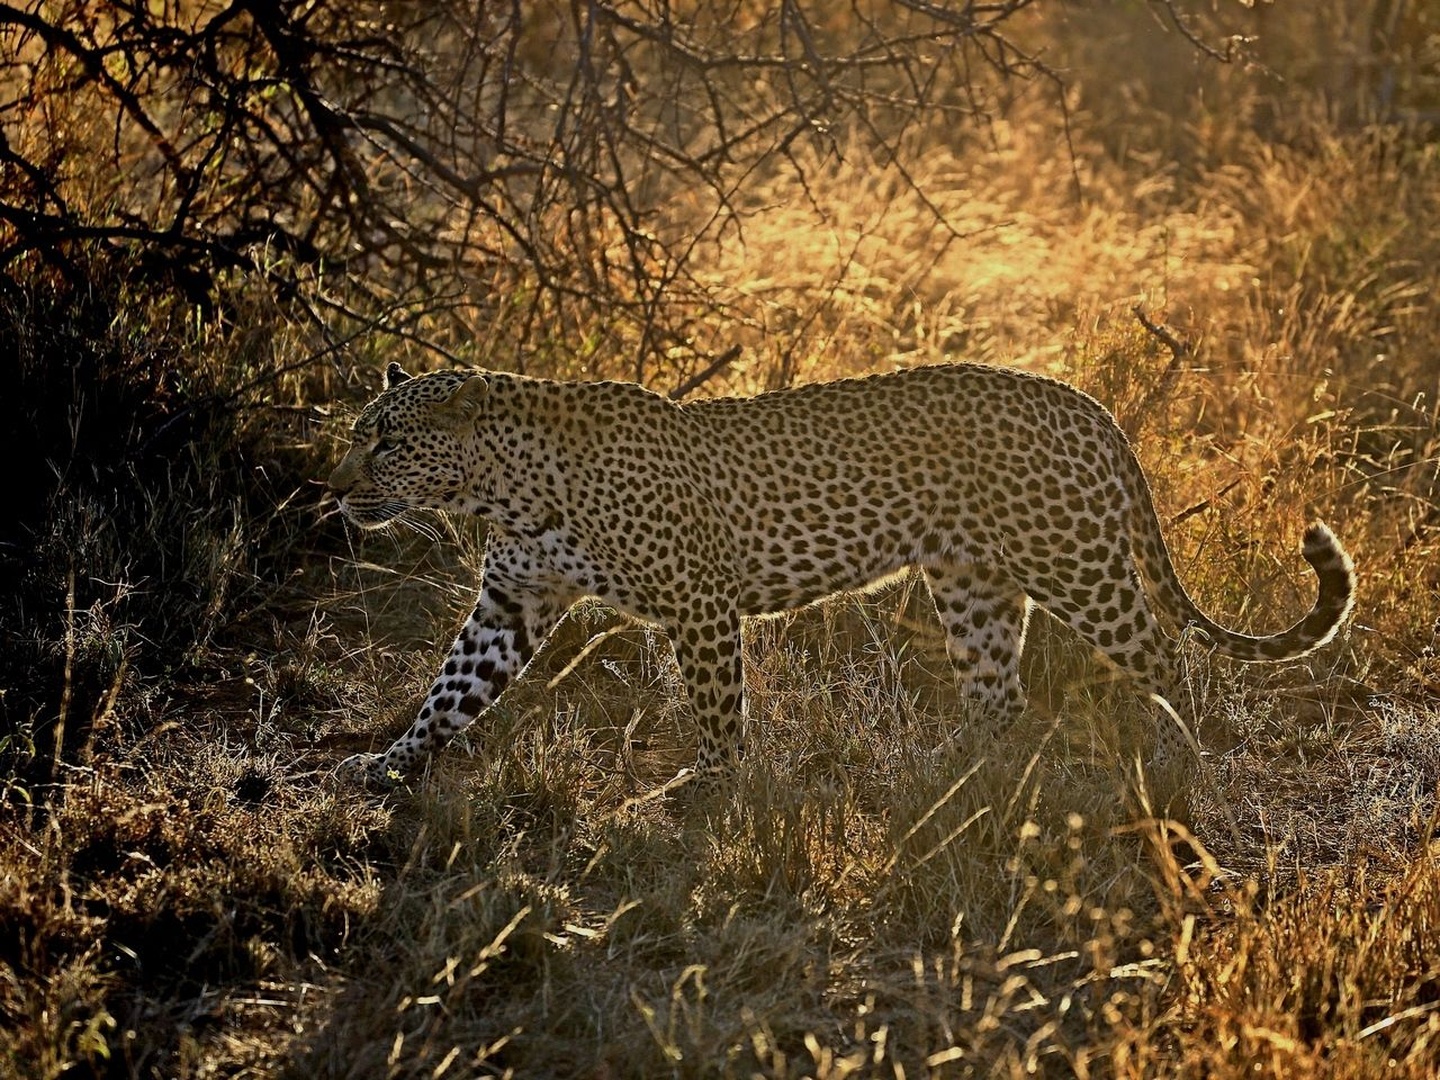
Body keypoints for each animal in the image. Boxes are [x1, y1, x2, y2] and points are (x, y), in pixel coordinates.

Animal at [327, 360, 1355, 787]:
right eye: (360, 436)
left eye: (386, 443)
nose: (337, 492)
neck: (503, 488)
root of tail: (1086, 401)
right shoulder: (512, 601)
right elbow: (449, 690)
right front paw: (391, 762)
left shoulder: (700, 605)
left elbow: (718, 710)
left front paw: (708, 789)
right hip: (973, 584)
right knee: (999, 693)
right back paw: (951, 777)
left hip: (1079, 565)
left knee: (1168, 661)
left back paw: (1187, 759)